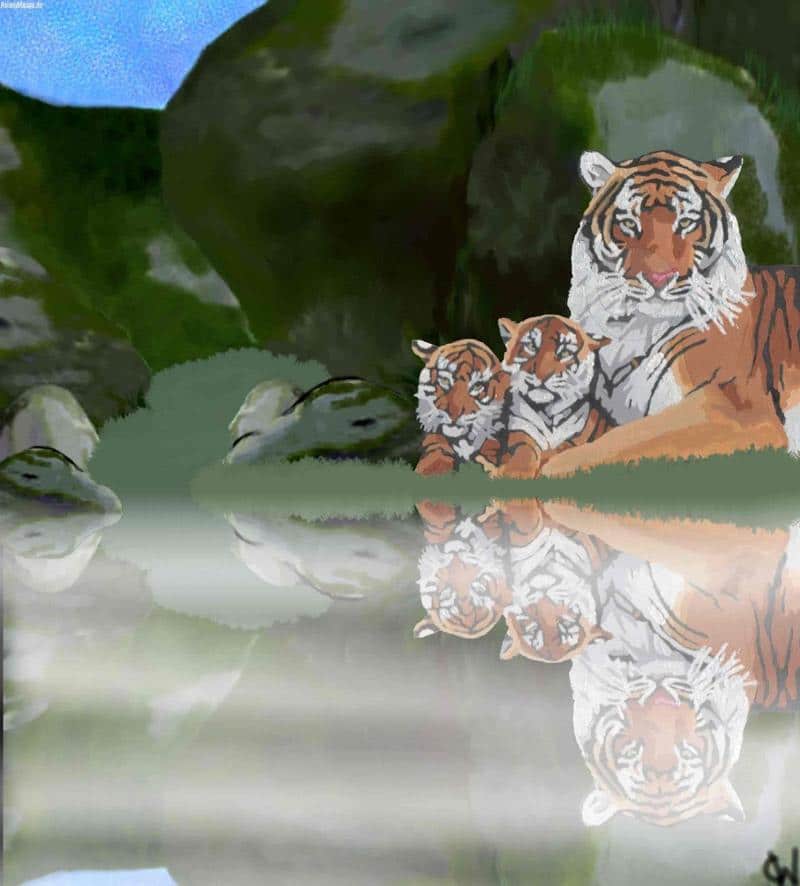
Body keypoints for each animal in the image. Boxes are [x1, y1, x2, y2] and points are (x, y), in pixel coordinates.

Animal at [484, 315, 612, 478]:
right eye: (531, 347)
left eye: (565, 353)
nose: (542, 374)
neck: (547, 412)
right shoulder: (521, 433)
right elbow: (524, 452)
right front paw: (516, 472)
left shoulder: (575, 440)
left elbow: (558, 451)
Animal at [541, 149, 800, 478]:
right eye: (629, 223)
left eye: (686, 222)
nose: (659, 278)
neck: (631, 329)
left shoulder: (734, 409)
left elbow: (628, 440)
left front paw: (547, 469)